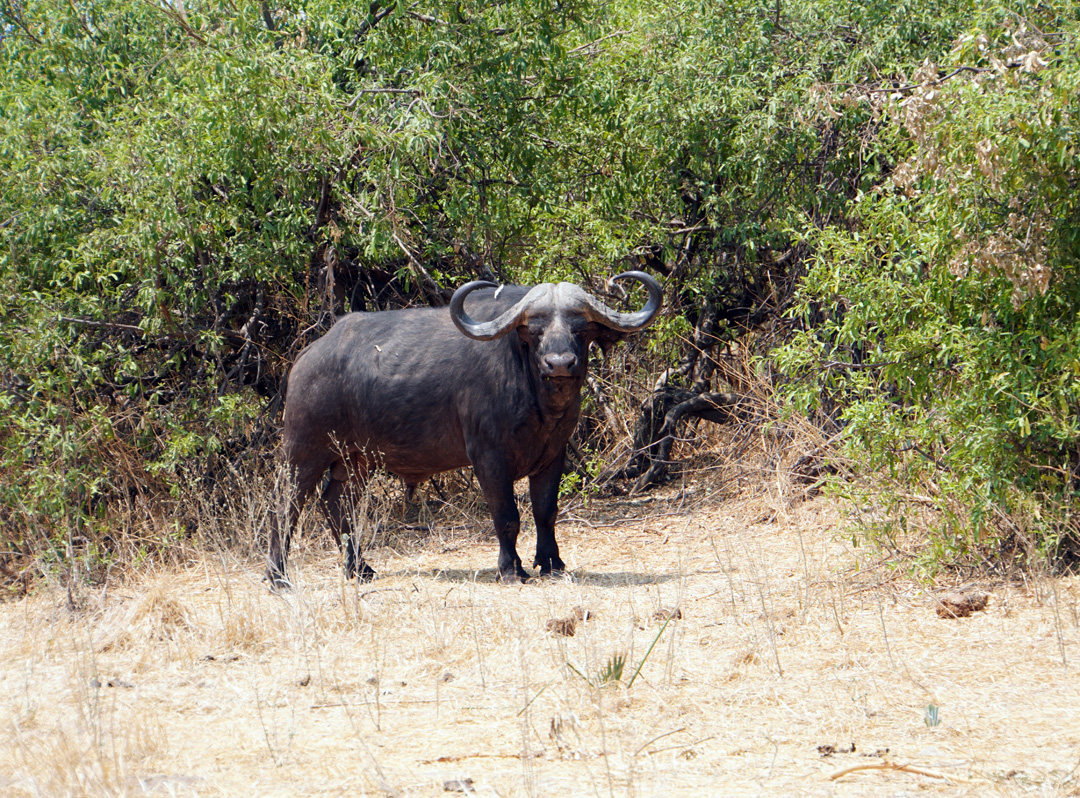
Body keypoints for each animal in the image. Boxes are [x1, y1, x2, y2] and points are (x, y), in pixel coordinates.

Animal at [266, 271, 662, 586]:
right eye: (534, 331)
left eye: (581, 328)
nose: (560, 363)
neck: (537, 398)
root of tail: (306, 358)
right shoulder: (489, 457)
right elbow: (507, 517)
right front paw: (511, 569)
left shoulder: (554, 454)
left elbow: (546, 512)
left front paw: (552, 563)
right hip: (303, 452)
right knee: (286, 505)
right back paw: (278, 577)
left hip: (355, 461)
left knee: (336, 505)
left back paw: (359, 569)